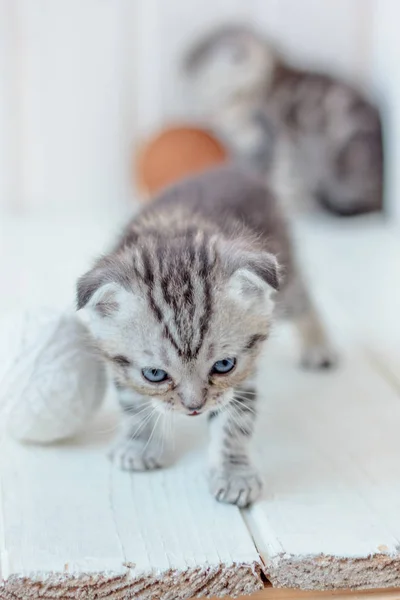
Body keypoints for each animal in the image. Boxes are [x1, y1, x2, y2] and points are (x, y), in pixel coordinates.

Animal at [78, 164, 334, 506]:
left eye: (223, 365)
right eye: (154, 374)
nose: (194, 407)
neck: (173, 236)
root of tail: (237, 168)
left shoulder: (242, 376)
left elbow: (233, 423)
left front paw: (234, 473)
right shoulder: (118, 361)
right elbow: (133, 402)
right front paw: (140, 443)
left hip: (284, 278)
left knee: (303, 299)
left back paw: (319, 347)